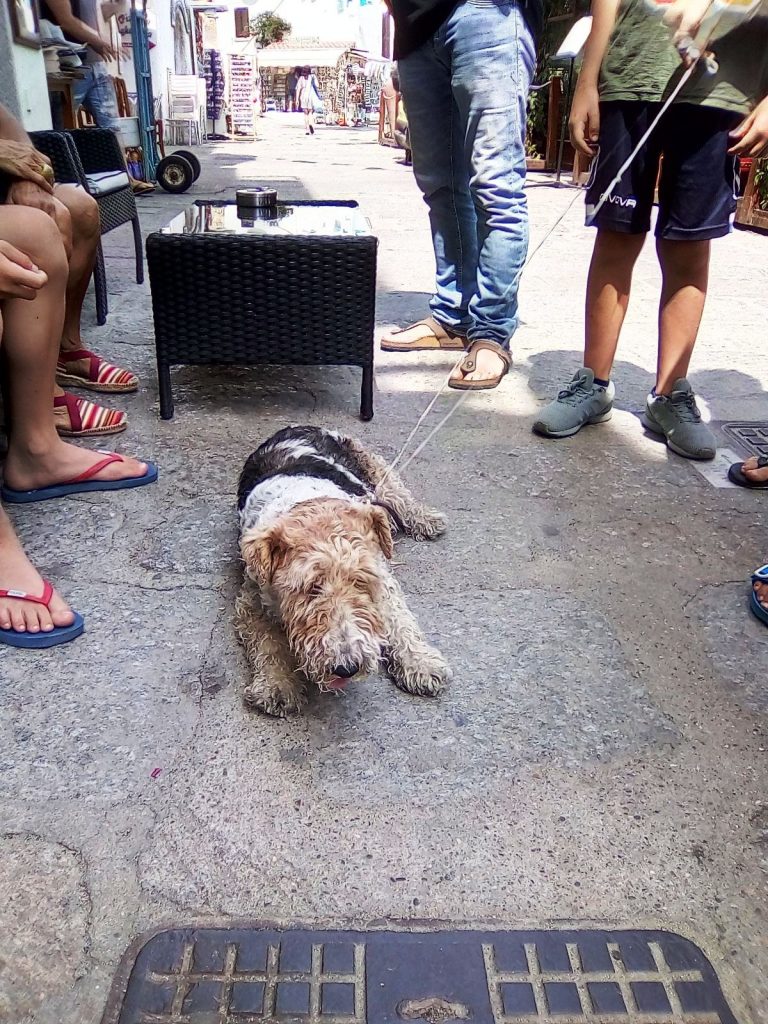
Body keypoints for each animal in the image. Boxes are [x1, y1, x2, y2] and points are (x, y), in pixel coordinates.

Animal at [236, 421, 450, 712]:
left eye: (360, 581)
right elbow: (267, 642)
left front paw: (421, 663)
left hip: (376, 471)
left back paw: (425, 519)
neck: (307, 502)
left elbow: (401, 621)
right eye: (310, 589)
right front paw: (276, 685)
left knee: (400, 496)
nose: (346, 667)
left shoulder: (382, 579)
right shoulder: (252, 598)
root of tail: (296, 426)